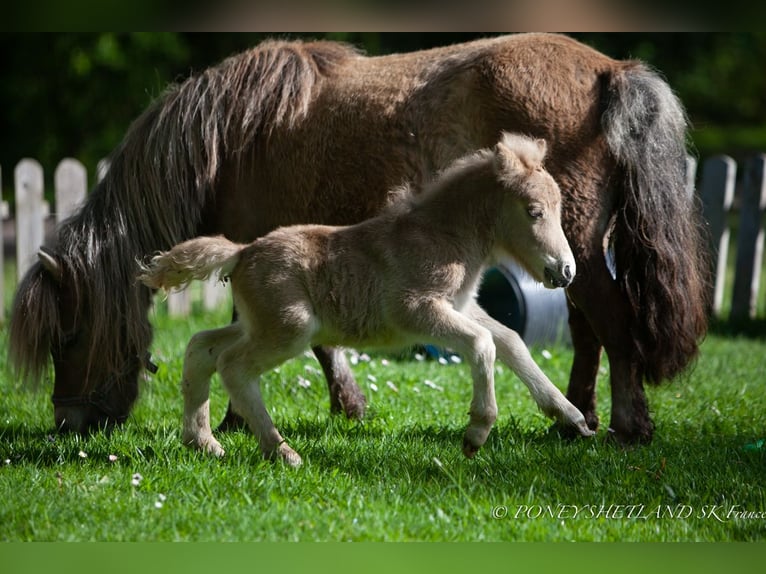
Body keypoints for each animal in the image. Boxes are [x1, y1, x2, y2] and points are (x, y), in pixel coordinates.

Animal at [9, 32, 712, 446]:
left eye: (68, 336)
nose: (69, 424)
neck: (229, 140)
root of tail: (612, 70)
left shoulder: (262, 244)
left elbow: (302, 341)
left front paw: (259, 416)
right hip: (566, 259)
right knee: (587, 327)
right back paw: (577, 417)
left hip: (580, 253)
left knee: (611, 321)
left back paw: (625, 426)